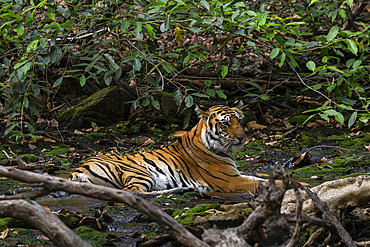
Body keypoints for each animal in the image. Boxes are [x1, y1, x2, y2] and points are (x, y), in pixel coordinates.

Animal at [70, 100, 268, 193]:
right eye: (226, 124)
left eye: (239, 121)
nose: (243, 139)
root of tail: (78, 169)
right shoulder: (231, 180)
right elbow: (259, 183)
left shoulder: (236, 175)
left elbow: (259, 179)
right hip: (140, 172)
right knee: (133, 192)